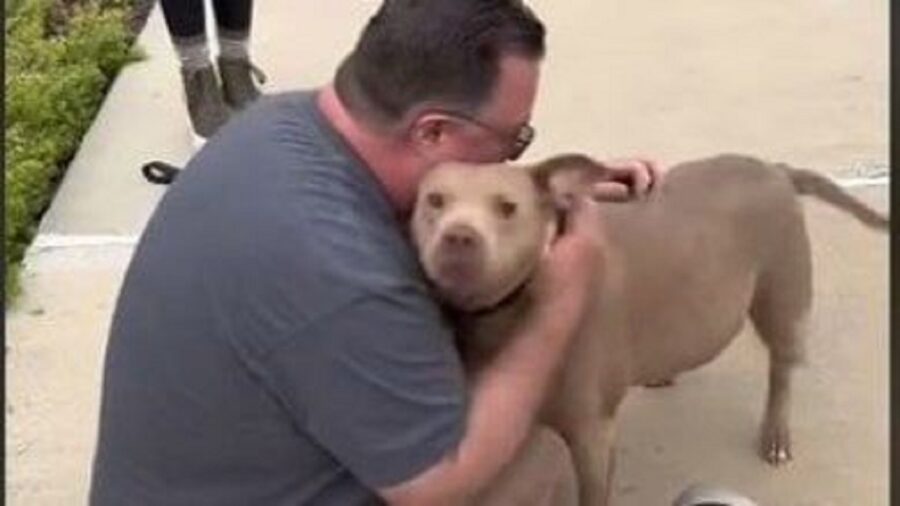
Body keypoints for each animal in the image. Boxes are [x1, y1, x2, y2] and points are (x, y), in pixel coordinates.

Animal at [412, 154, 888, 506]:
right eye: (434, 200)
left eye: (507, 207)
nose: (459, 237)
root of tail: (775, 168)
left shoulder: (593, 434)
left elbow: (592, 494)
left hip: (782, 297)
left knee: (783, 370)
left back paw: (776, 434)